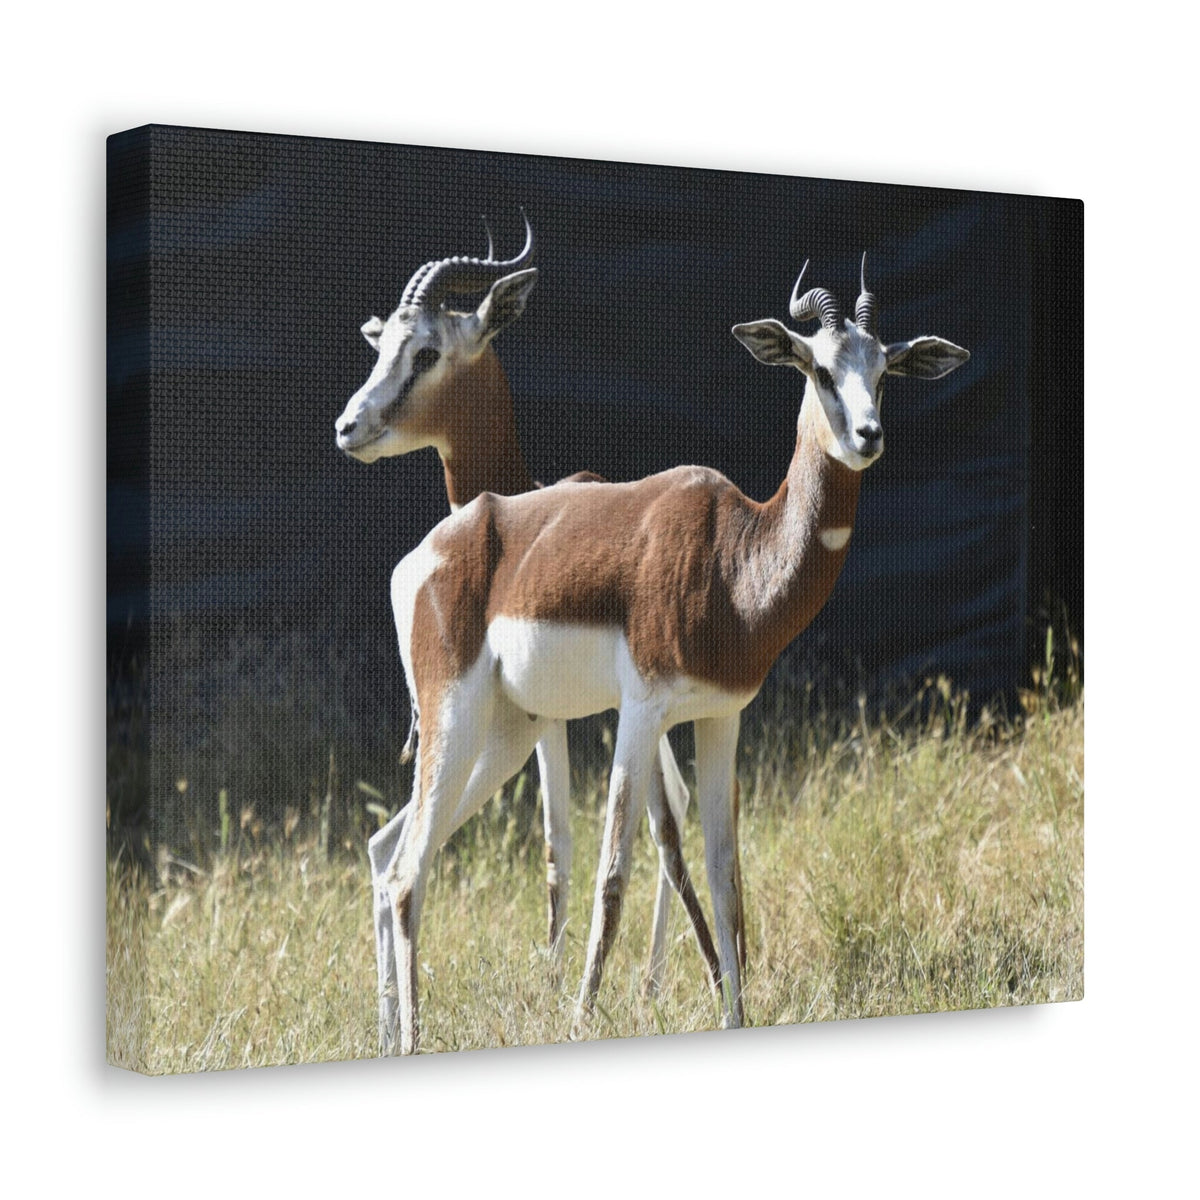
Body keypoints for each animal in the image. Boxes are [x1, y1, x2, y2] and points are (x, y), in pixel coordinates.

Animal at [334, 218, 720, 1053]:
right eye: (383, 346)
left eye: (426, 351)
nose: (349, 426)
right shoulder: (557, 723)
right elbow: (559, 846)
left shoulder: (578, 720)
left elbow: (583, 843)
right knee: (395, 851)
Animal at [380, 256, 970, 1053]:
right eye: (818, 368)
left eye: (884, 371)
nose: (868, 436)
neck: (734, 557)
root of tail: (426, 555)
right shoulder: (640, 711)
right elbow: (614, 871)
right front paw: (581, 1019)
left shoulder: (722, 717)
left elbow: (727, 876)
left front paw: (736, 1016)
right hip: (456, 717)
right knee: (410, 870)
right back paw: (411, 1040)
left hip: (507, 731)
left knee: (402, 861)